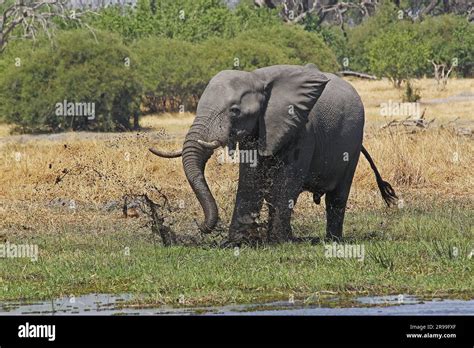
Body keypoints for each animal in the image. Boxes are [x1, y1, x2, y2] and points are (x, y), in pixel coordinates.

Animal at [151, 64, 396, 245]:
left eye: (235, 111)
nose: (199, 224)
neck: (257, 79)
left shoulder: (302, 130)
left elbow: (287, 182)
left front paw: (280, 241)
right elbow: (250, 180)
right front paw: (236, 243)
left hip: (353, 143)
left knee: (337, 197)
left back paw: (333, 241)